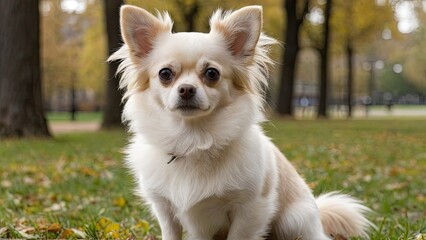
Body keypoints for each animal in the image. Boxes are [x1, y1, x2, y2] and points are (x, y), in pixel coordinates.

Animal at [109, 4, 372, 239]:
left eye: (212, 73)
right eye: (165, 74)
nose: (186, 89)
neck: (193, 141)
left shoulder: (251, 209)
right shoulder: (164, 210)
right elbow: (170, 233)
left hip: (293, 220)